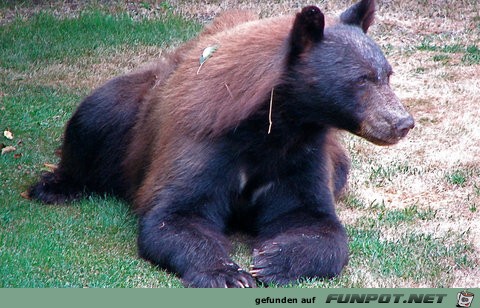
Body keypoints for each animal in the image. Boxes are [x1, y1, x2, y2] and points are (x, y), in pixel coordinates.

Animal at [29, 0, 412, 288]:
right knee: (91, 118)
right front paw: (228, 274)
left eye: (387, 74)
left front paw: (272, 261)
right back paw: (54, 185)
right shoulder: (204, 143)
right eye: (361, 79)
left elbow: (313, 220)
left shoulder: (303, 155)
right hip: (126, 108)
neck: (274, 128)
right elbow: (177, 214)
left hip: (340, 162)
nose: (403, 122)